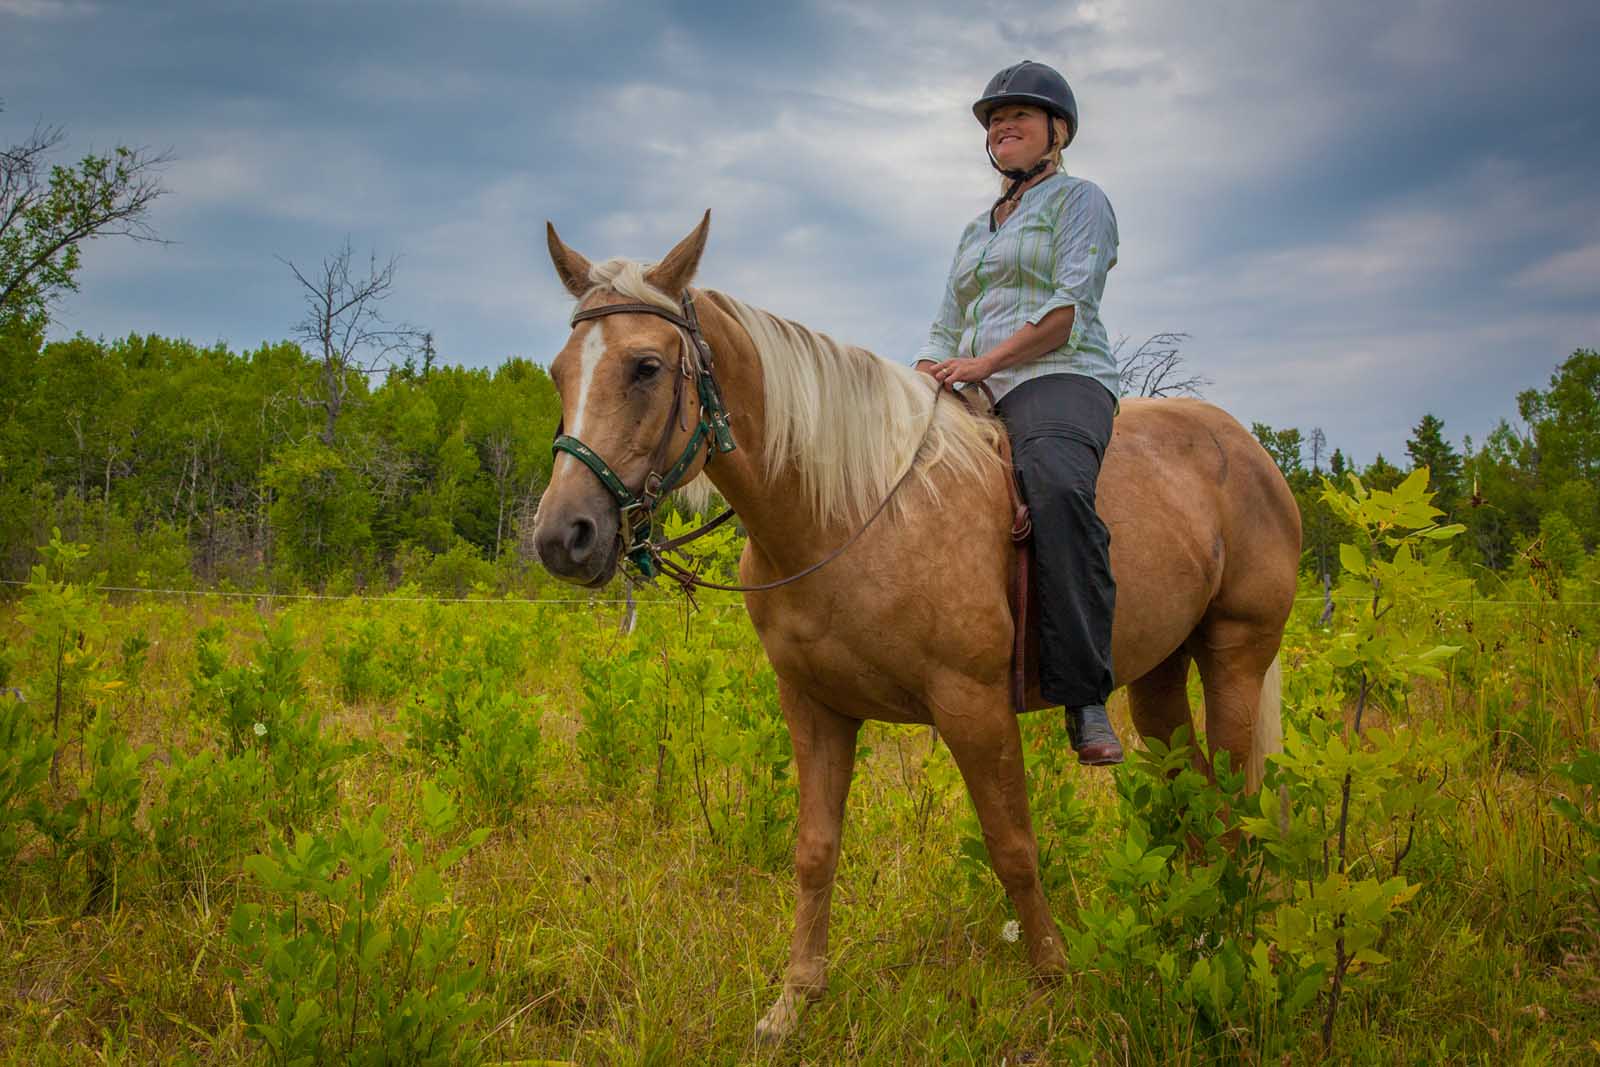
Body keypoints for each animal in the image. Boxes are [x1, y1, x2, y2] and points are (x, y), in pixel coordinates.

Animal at [531, 214, 1305, 1043]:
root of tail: (1250, 449)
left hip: (1235, 654)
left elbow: (1013, 844)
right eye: (558, 372)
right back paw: (1190, 920)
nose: (563, 536)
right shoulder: (815, 707)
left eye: (645, 367)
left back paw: (1220, 932)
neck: (848, 511)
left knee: (1232, 795)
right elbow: (814, 849)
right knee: (1188, 787)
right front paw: (794, 998)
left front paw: (1055, 976)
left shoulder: (974, 706)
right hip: (1159, 674)